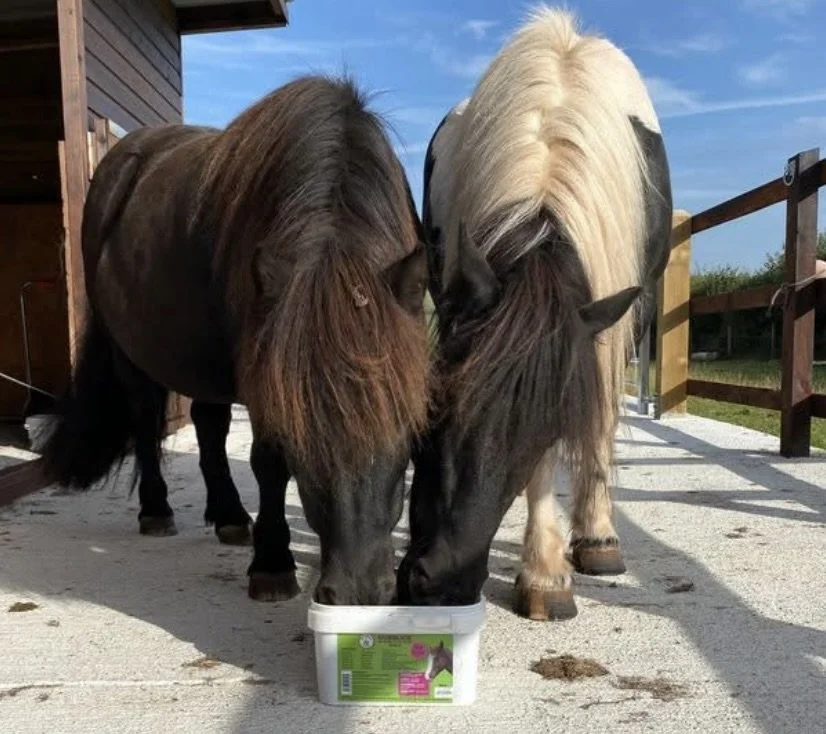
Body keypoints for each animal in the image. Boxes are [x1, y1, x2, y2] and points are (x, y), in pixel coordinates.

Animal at [39, 74, 431, 606]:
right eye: (299, 436)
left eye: (408, 431)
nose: (360, 591)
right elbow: (268, 464)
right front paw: (272, 565)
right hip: (131, 355)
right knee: (145, 421)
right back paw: (156, 511)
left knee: (209, 424)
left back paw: (228, 516)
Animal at [397, 7, 673, 620]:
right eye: (437, 402)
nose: (440, 583)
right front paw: (546, 571)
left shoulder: (613, 320)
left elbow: (587, 424)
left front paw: (572, 556)